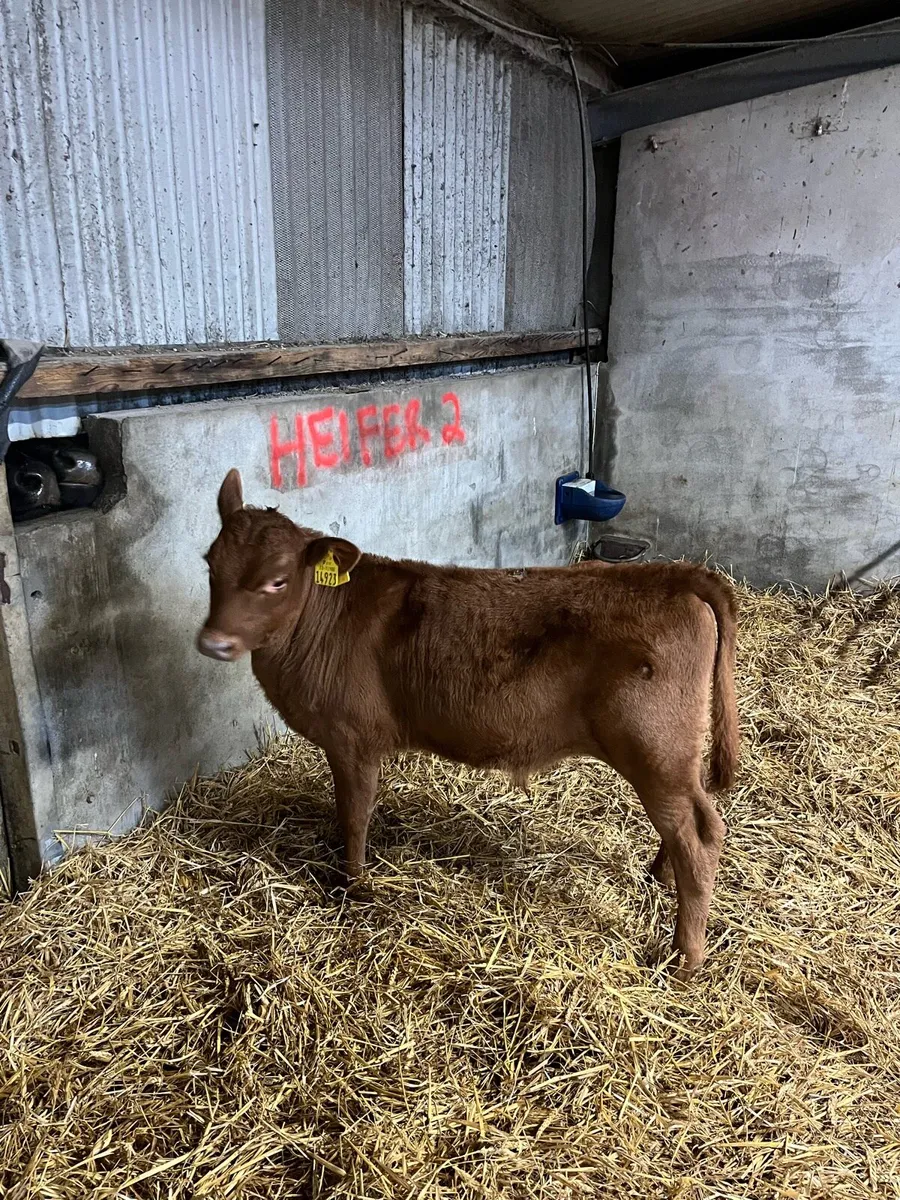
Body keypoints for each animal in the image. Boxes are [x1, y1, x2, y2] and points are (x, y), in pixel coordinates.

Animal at [198, 469, 739, 978]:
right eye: (210, 565)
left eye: (277, 580)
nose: (213, 642)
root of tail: (671, 576)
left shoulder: (352, 738)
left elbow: (354, 814)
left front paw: (354, 886)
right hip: (671, 754)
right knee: (683, 823)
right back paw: (659, 877)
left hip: (653, 745)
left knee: (699, 837)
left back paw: (685, 957)